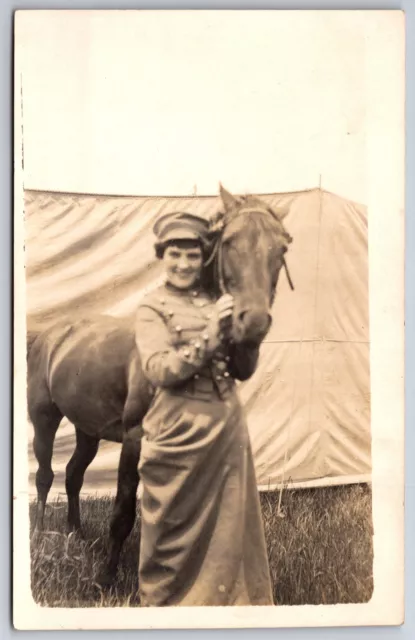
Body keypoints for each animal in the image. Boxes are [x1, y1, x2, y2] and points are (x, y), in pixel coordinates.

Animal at [27, 184, 294, 584]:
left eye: (282, 248)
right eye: (230, 241)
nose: (254, 323)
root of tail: (54, 333)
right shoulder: (135, 438)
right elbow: (123, 512)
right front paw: (106, 579)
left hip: (87, 428)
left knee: (73, 474)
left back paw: (76, 532)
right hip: (44, 419)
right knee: (45, 476)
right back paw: (42, 533)